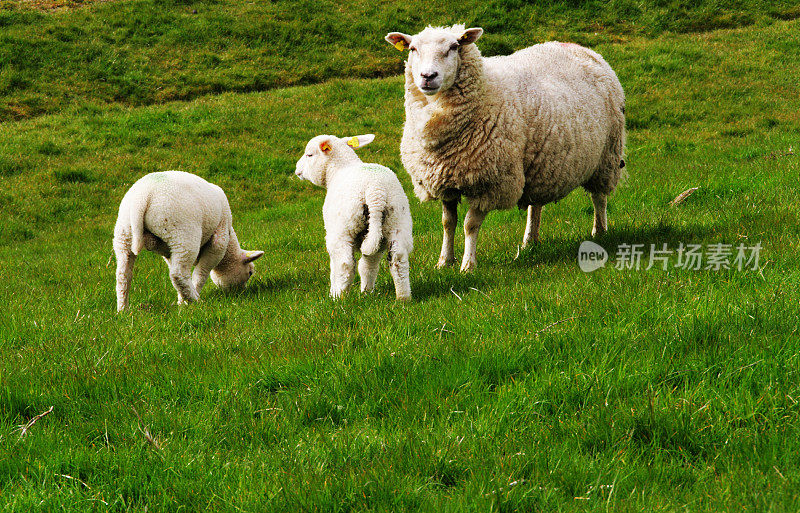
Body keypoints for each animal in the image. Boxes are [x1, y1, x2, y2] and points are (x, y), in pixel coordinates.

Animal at [112, 170, 264, 310]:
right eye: (250, 273)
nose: (241, 292)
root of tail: (142, 198)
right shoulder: (219, 242)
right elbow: (201, 272)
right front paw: (188, 298)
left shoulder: (168, 250)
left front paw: (181, 300)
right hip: (183, 234)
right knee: (178, 274)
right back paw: (196, 300)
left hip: (124, 234)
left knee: (123, 274)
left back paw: (123, 310)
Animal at [296, 134, 416, 300]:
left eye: (309, 155)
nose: (297, 170)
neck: (338, 169)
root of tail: (375, 190)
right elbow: (368, 265)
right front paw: (366, 292)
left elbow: (336, 266)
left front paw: (333, 293)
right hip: (396, 222)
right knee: (396, 259)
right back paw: (401, 297)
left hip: (344, 228)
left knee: (344, 264)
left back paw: (338, 297)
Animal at [382, 23, 624, 272]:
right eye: (412, 48)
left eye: (454, 46)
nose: (428, 76)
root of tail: (583, 49)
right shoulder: (445, 180)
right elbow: (448, 223)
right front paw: (444, 262)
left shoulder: (490, 183)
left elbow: (469, 225)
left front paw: (468, 266)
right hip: (541, 164)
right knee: (535, 203)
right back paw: (529, 242)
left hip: (607, 154)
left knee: (599, 197)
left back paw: (599, 232)